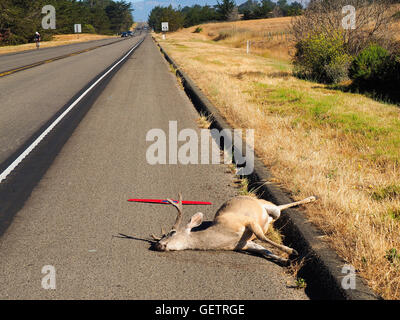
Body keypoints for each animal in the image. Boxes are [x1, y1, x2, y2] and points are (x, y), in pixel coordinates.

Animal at [152, 194, 318, 264]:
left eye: (171, 233)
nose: (158, 245)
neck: (225, 235)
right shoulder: (244, 244)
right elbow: (265, 251)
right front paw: (285, 261)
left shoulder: (246, 221)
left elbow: (262, 237)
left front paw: (292, 251)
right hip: (270, 217)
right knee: (276, 213)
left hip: (267, 206)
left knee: (279, 207)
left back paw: (311, 198)